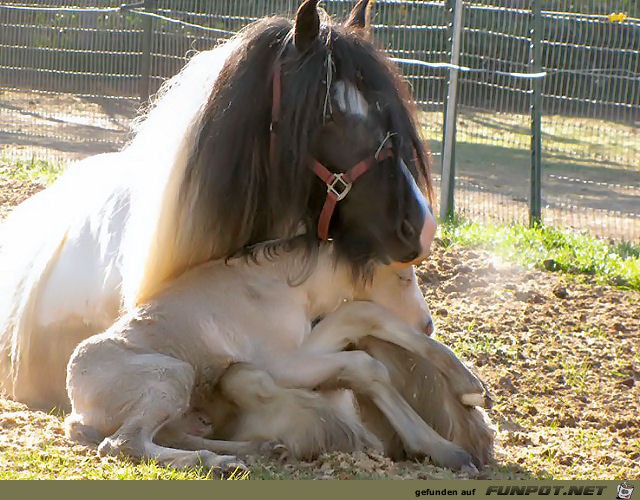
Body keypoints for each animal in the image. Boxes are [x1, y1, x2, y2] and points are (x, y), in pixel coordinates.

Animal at [65, 246, 488, 472]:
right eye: (402, 277)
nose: (428, 323)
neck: (282, 284)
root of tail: (78, 411)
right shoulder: (277, 364)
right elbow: (365, 363)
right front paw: (445, 450)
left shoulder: (301, 346)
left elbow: (362, 314)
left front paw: (470, 386)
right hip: (171, 374)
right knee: (123, 444)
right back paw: (220, 463)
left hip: (181, 403)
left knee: (169, 433)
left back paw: (259, 450)